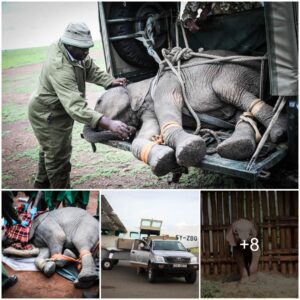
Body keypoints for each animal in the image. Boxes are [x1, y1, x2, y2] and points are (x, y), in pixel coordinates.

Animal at [82, 49, 288, 176]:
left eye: (99, 101)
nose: (127, 131)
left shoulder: (167, 81)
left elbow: (169, 102)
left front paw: (190, 148)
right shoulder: (147, 109)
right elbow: (146, 133)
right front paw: (162, 160)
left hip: (236, 71)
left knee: (228, 89)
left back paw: (278, 132)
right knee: (240, 112)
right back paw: (238, 146)